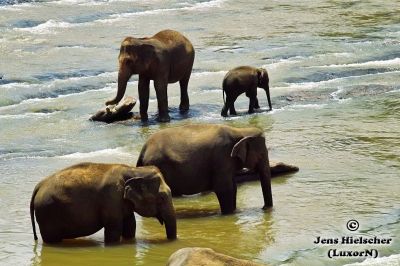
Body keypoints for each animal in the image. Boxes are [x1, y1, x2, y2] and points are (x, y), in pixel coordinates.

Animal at [29, 162, 177, 243]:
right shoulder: (111, 198)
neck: (133, 170)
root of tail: (38, 186)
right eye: (162, 198)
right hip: (47, 213)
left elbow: (130, 226)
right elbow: (113, 230)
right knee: (51, 239)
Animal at [137, 124, 272, 214]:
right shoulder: (221, 158)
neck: (240, 130)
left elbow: (233, 188)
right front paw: (229, 213)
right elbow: (224, 189)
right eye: (261, 154)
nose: (264, 208)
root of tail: (144, 149)